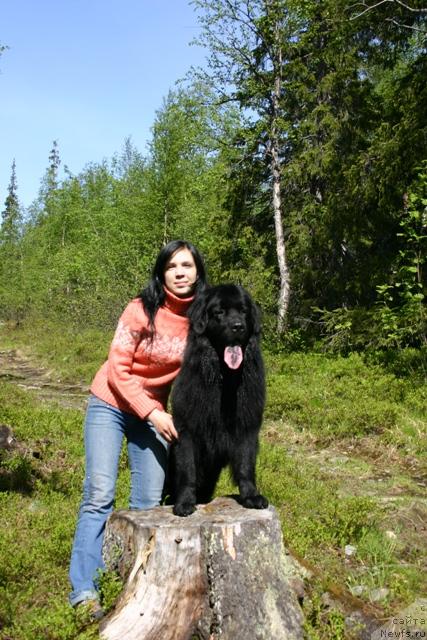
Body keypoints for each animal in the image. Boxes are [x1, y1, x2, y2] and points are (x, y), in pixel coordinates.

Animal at [170, 284, 268, 516]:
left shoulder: (247, 425)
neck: (225, 378)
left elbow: (246, 464)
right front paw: (185, 502)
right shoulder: (187, 429)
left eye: (243, 311)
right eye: (219, 312)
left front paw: (251, 496)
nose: (238, 326)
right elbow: (188, 469)